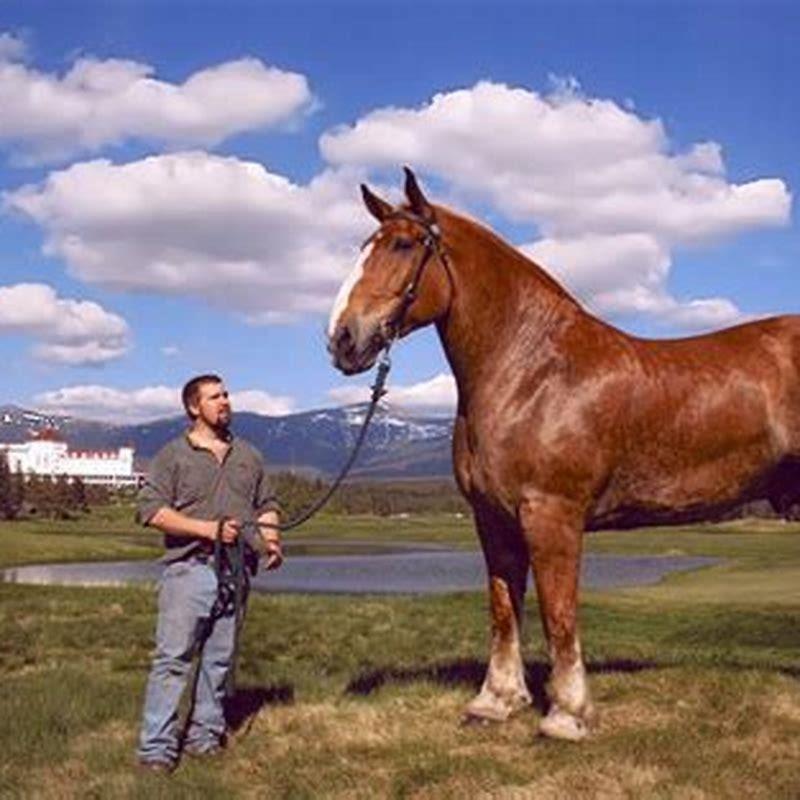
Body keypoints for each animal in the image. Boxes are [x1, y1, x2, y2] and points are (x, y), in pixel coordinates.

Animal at [326, 167, 800, 741]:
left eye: (402, 244)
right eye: (364, 247)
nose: (342, 339)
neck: (535, 371)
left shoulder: (551, 515)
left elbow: (558, 613)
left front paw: (567, 714)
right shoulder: (493, 519)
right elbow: (504, 611)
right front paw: (495, 702)